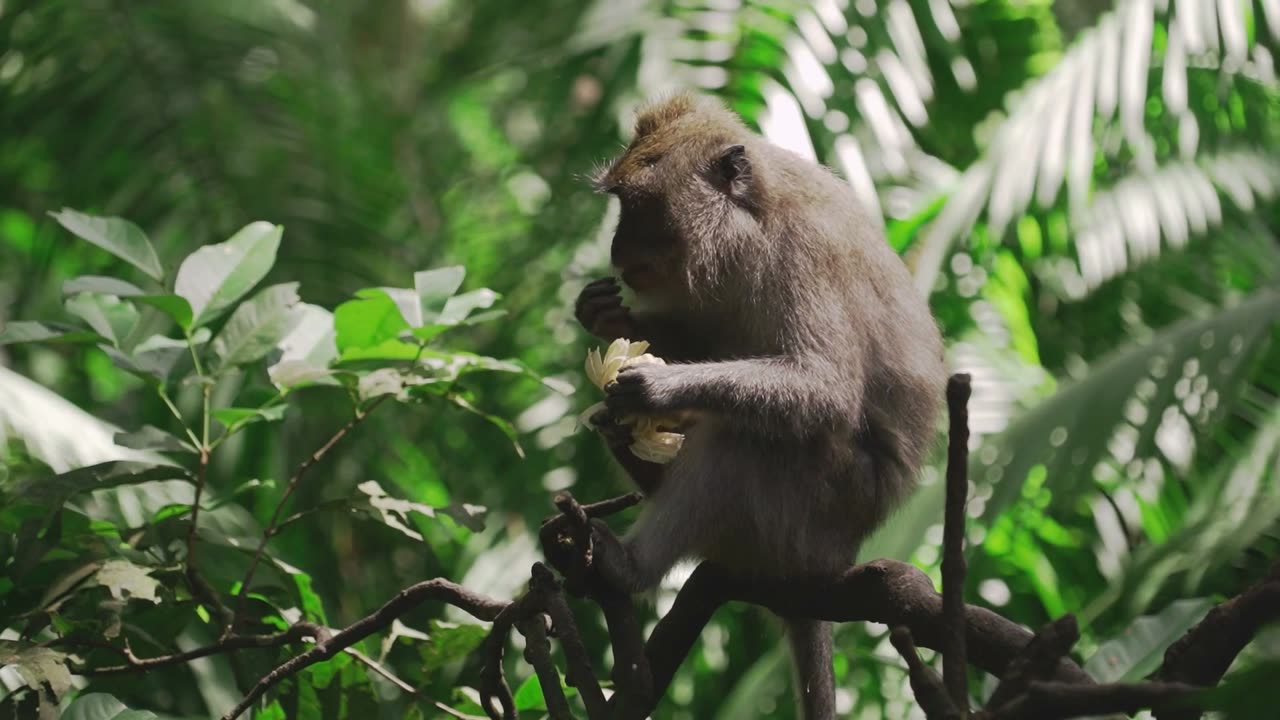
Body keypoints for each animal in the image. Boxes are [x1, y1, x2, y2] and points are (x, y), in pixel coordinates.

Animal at [576, 92, 947, 712]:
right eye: (620, 202)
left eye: (636, 203)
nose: (617, 250)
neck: (755, 218)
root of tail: (837, 557)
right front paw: (607, 317)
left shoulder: (805, 255)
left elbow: (824, 386)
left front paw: (655, 389)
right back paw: (623, 439)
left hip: (816, 512)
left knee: (742, 436)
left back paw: (628, 566)